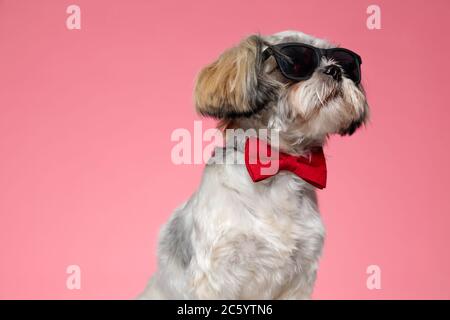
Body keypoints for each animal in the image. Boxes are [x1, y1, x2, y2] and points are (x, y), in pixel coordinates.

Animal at [140, 30, 370, 300]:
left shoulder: (301, 275)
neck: (279, 165)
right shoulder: (215, 275)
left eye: (347, 64)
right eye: (295, 63)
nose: (335, 70)